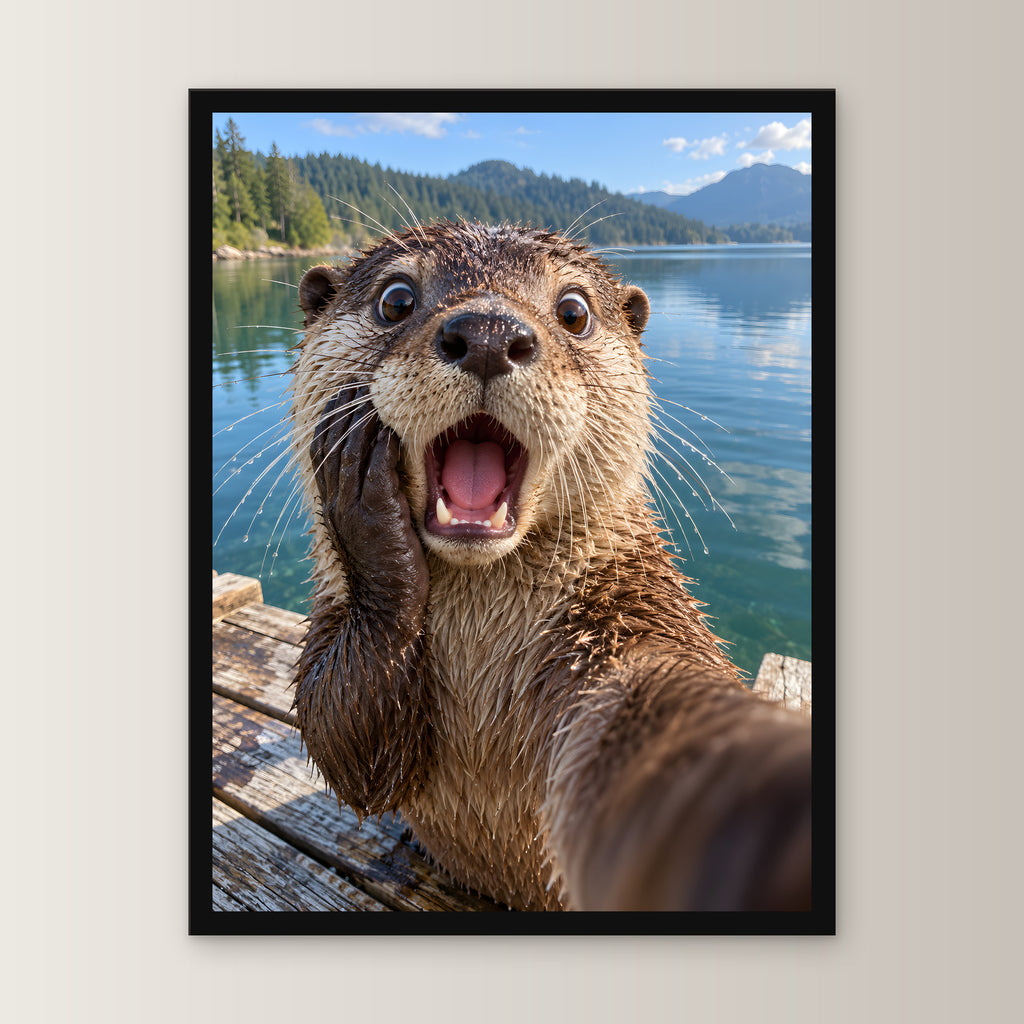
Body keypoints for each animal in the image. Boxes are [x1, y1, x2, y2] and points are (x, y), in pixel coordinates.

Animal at [289, 220, 812, 912]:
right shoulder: (332, 614)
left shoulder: (635, 620)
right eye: (396, 299)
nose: (487, 332)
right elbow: (340, 737)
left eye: (574, 312)